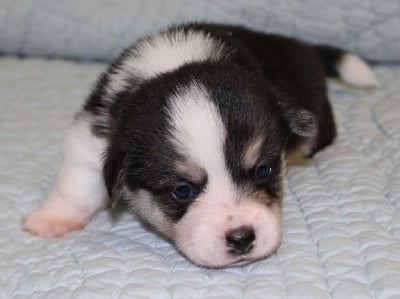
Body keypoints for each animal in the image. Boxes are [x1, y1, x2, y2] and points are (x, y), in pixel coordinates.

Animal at [23, 22, 380, 268]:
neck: (175, 63)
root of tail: (299, 46)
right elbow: (78, 180)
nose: (241, 239)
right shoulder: (95, 128)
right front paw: (50, 219)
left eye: (263, 171)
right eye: (182, 190)